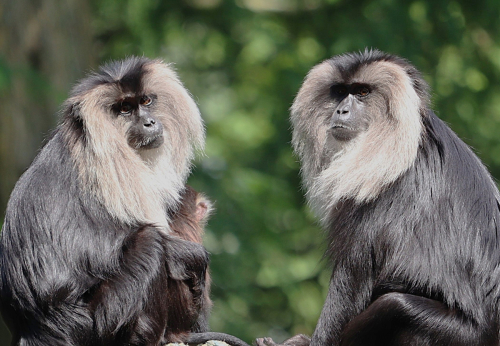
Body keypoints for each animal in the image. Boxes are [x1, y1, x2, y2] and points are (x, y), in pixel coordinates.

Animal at [0, 58, 213, 344]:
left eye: (146, 101)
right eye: (125, 109)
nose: (149, 122)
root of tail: (34, 330)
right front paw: (194, 257)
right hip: (100, 321)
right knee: (150, 241)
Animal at [258, 50, 500, 346]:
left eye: (362, 92)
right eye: (340, 92)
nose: (342, 110)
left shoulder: (374, 194)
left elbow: (352, 279)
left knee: (396, 305)